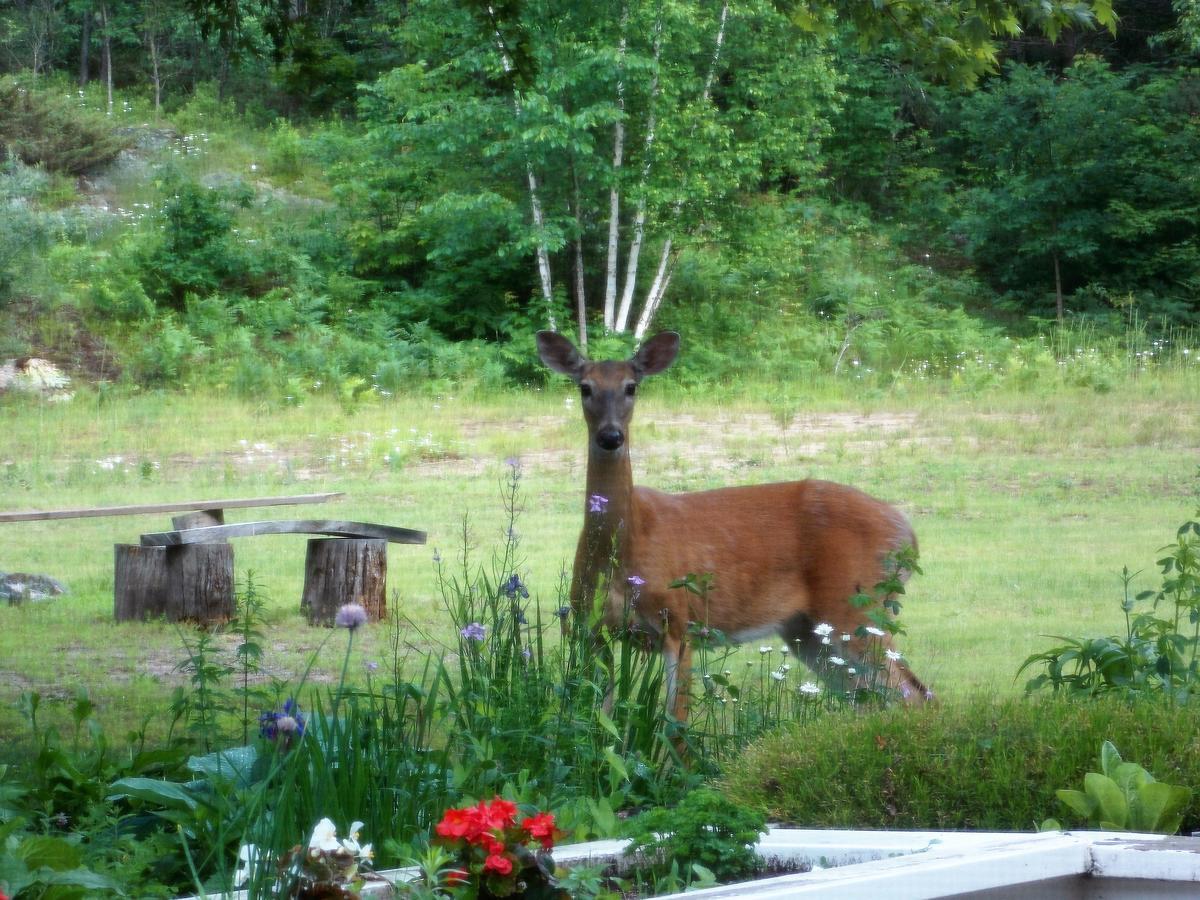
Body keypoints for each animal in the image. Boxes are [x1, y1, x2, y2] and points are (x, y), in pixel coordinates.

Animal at [540, 331, 931, 724]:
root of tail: (908, 534)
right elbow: (596, 721)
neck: (624, 546)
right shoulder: (589, 630)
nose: (610, 436)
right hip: (809, 631)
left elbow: (675, 724)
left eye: (631, 387)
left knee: (913, 693)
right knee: (867, 698)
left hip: (857, 606)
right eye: (585, 387)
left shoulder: (680, 621)